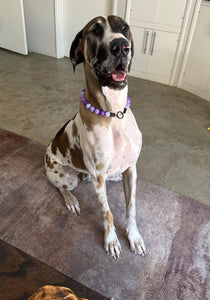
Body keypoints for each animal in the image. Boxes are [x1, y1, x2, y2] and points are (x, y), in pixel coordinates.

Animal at [44, 15, 146, 258]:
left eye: (124, 27)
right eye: (95, 31)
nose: (121, 46)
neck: (114, 114)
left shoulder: (131, 169)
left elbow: (131, 207)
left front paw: (134, 236)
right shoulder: (98, 178)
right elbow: (107, 213)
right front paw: (111, 241)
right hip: (66, 177)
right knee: (60, 187)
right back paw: (71, 200)